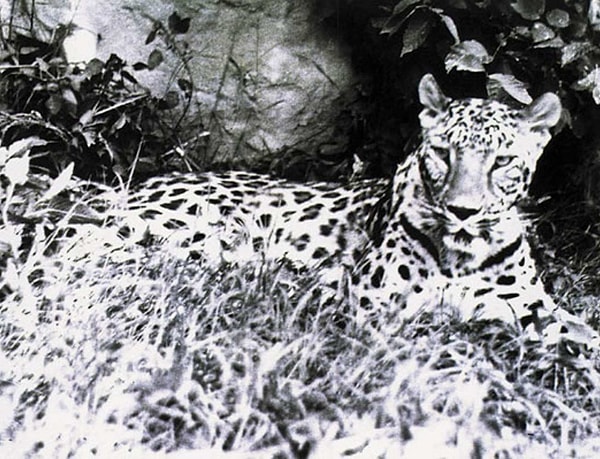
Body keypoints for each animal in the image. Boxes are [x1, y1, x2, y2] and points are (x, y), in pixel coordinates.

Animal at [105, 73, 596, 344]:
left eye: (503, 161)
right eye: (443, 154)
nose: (462, 211)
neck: (463, 254)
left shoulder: (531, 304)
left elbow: (575, 329)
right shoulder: (375, 305)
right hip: (195, 232)